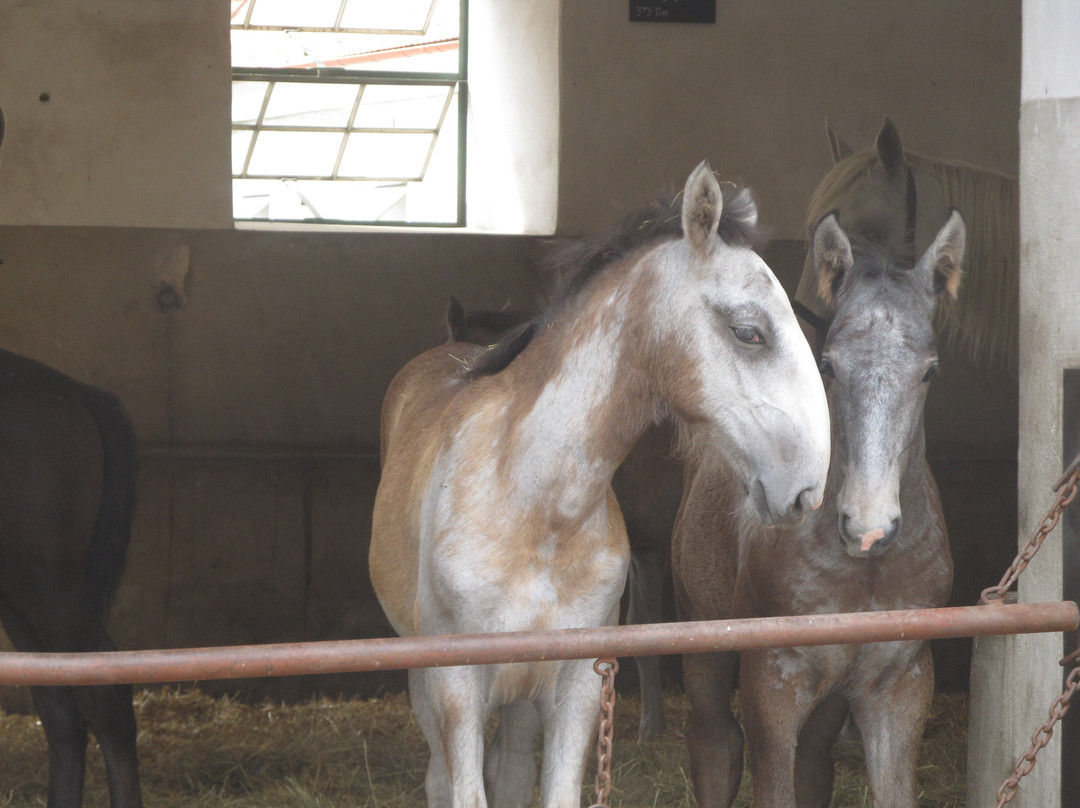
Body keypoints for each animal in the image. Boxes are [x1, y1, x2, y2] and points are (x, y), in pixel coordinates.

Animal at [669, 209, 967, 808]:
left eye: (930, 370)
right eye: (827, 364)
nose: (868, 528)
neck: (865, 572)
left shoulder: (900, 682)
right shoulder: (772, 676)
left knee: (812, 760)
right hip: (701, 631)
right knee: (714, 742)